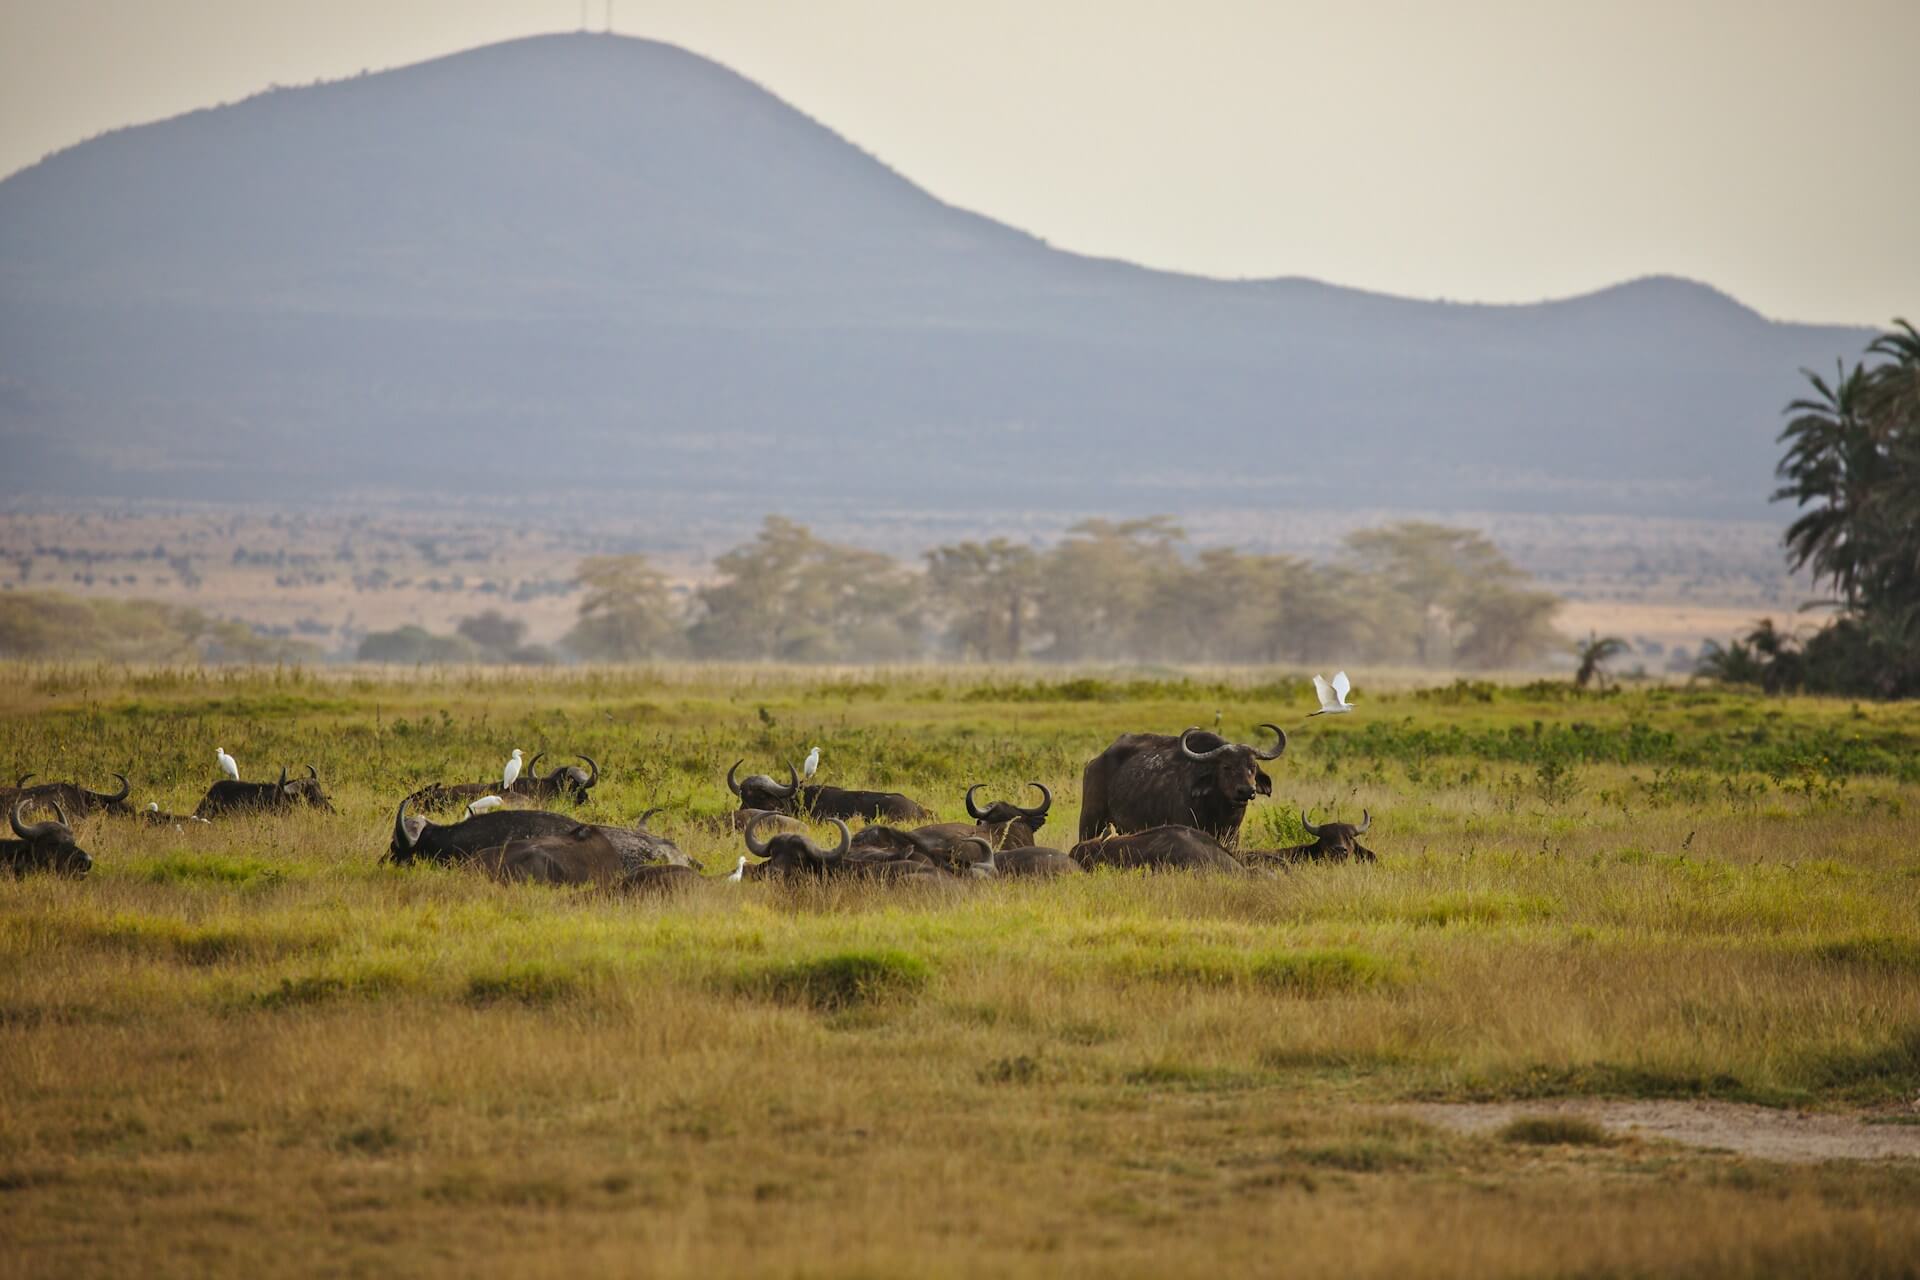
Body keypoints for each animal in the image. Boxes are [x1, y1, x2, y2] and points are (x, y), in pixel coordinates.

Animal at [1078, 724, 1286, 848]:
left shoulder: (1233, 836)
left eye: (1253, 767)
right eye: (1226, 767)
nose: (1246, 791)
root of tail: (1094, 763)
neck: (1219, 810)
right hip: (1090, 820)